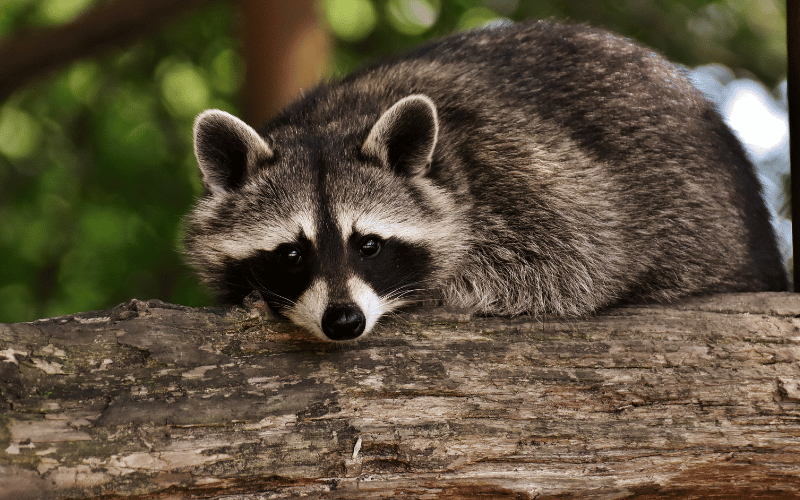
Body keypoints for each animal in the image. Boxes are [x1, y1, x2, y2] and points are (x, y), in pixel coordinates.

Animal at [183, 19, 788, 340]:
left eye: (369, 245)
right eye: (291, 253)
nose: (344, 322)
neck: (332, 122)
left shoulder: (528, 175)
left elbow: (581, 261)